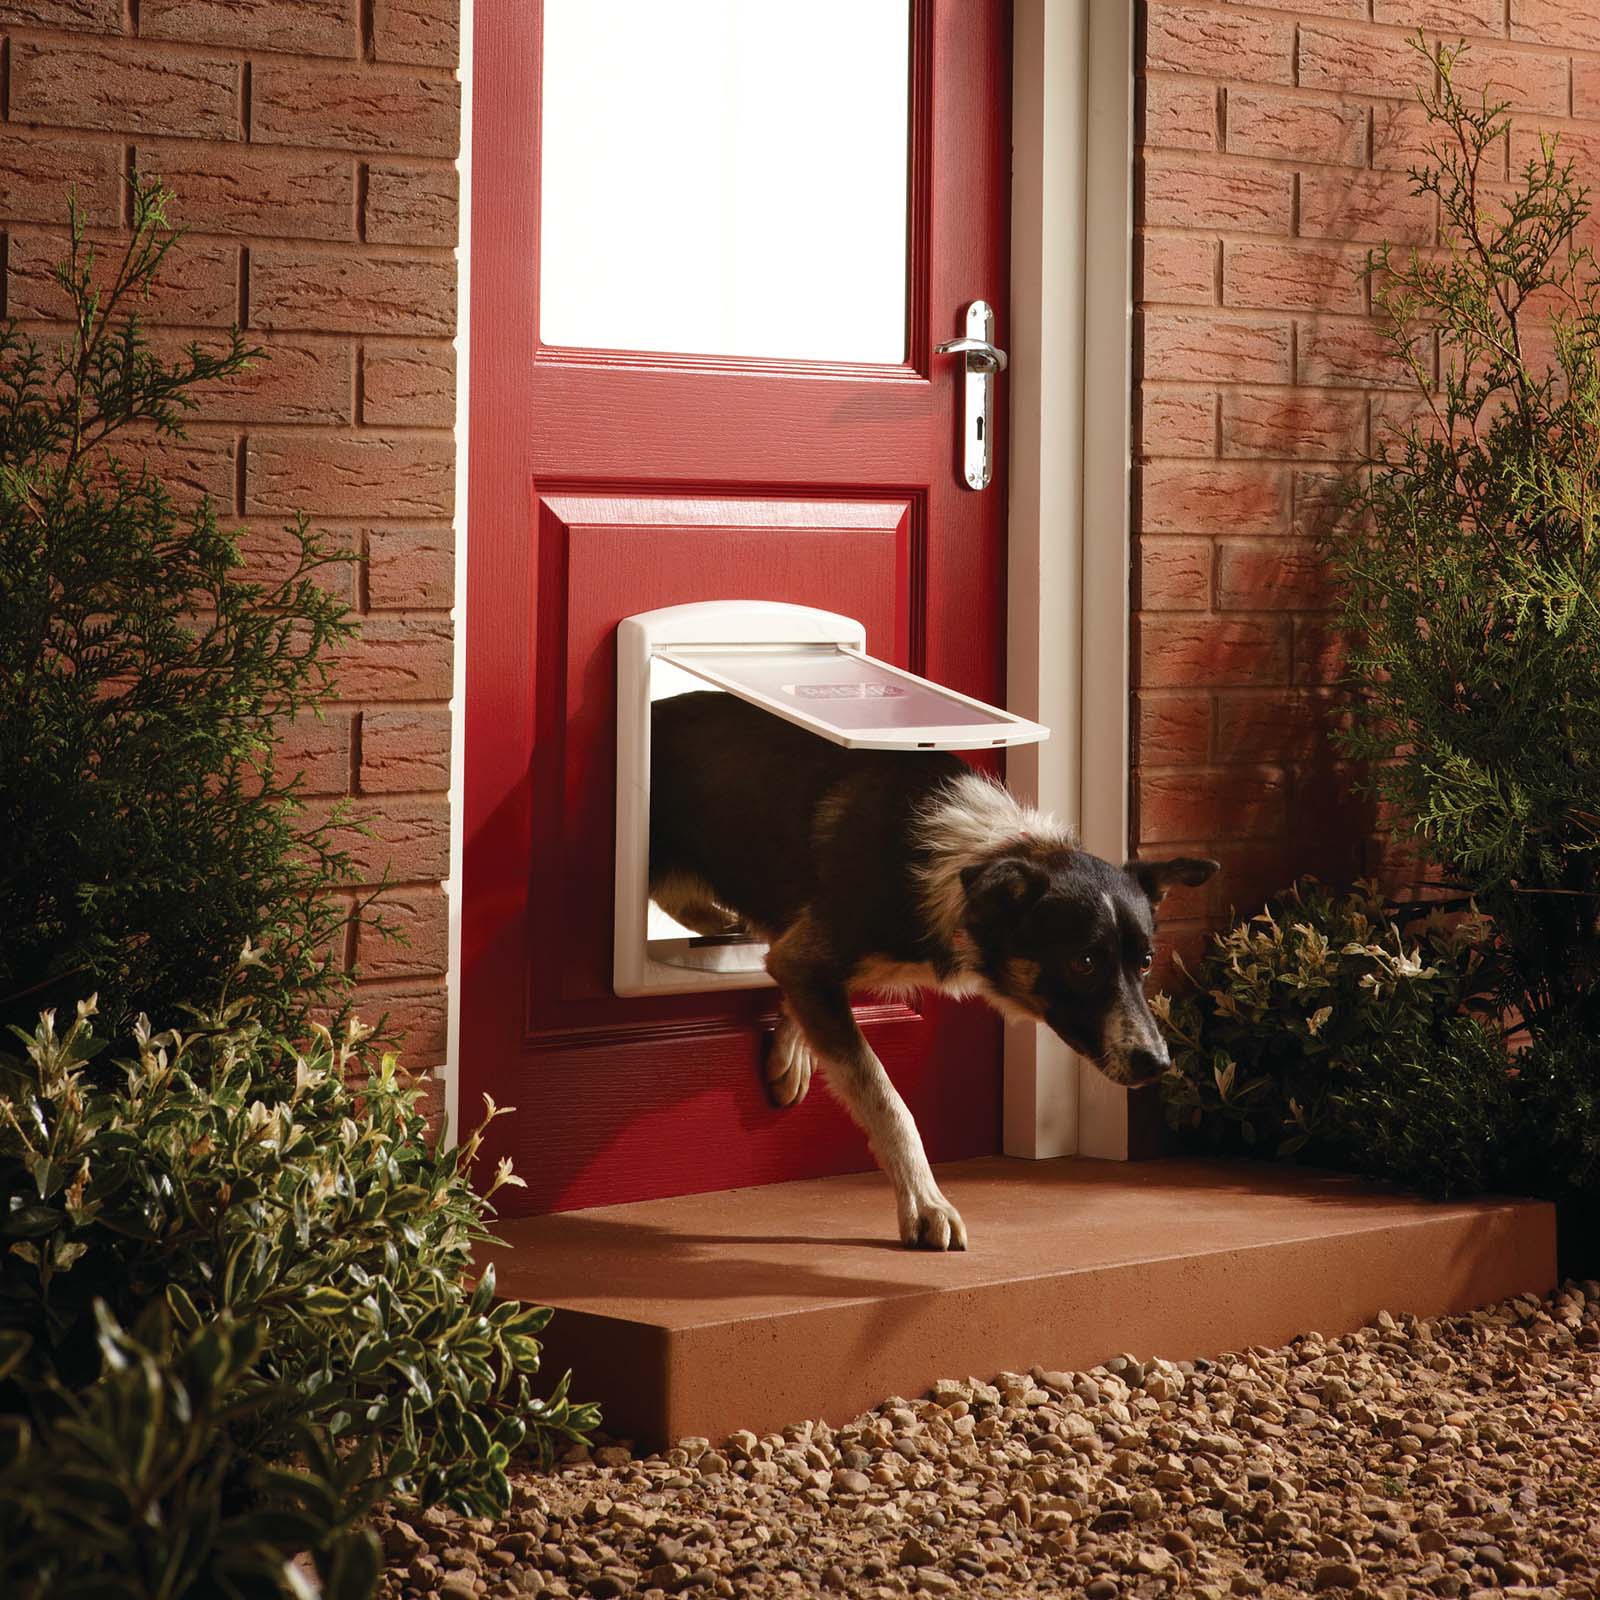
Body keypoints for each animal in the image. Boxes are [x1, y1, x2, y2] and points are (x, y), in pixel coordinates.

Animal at [646, 694, 1209, 1254]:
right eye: (1083, 962)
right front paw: (925, 1204)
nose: (1157, 1063)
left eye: (1145, 962)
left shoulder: (804, 960)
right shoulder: (809, 957)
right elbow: (884, 1096)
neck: (983, 859)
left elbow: (799, 989)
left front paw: (792, 1049)